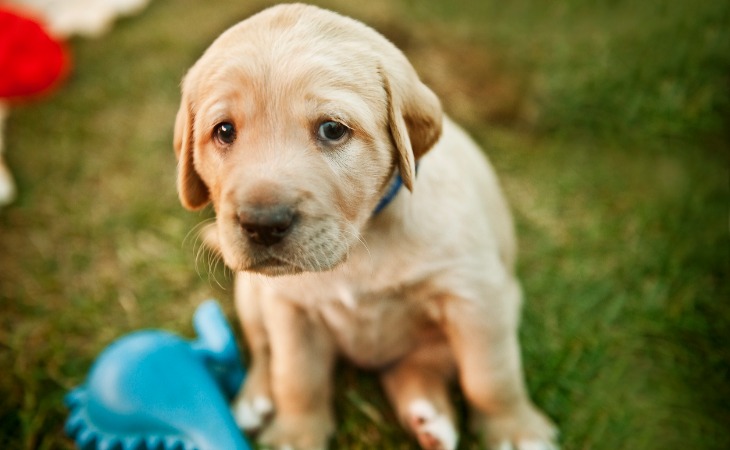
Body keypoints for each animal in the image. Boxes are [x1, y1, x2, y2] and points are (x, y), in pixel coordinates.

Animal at [173, 3, 556, 450]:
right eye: (224, 131)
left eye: (332, 129)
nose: (262, 224)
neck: (361, 241)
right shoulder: (289, 310)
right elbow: (296, 377)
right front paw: (295, 434)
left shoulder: (476, 295)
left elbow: (490, 376)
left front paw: (515, 430)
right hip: (251, 293)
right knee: (264, 351)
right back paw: (255, 398)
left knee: (418, 368)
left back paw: (428, 418)